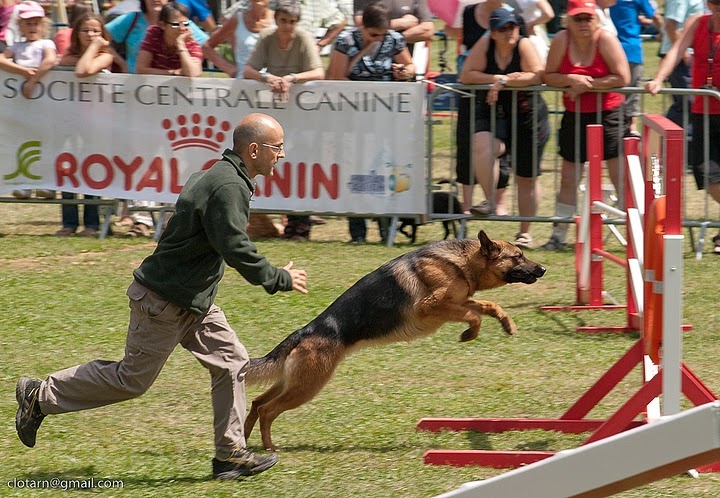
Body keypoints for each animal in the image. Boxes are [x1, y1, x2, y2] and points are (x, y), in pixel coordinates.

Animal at [243, 231, 544, 452]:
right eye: (518, 256)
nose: (543, 268)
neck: (462, 261)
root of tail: (305, 331)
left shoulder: (460, 300)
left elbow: (488, 305)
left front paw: (507, 324)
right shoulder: (432, 306)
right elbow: (474, 315)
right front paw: (469, 334)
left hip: (292, 382)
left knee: (257, 402)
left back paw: (244, 441)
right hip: (307, 386)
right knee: (268, 410)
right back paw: (269, 448)